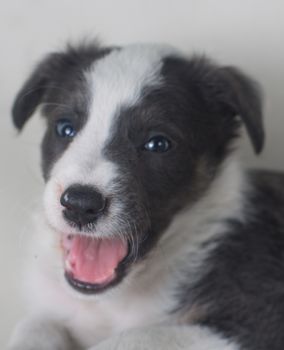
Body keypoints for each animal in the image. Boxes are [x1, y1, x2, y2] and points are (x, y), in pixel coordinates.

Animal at [7, 41, 284, 350]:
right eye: (65, 128)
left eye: (158, 144)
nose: (80, 204)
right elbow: (35, 322)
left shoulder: (257, 317)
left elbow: (133, 337)